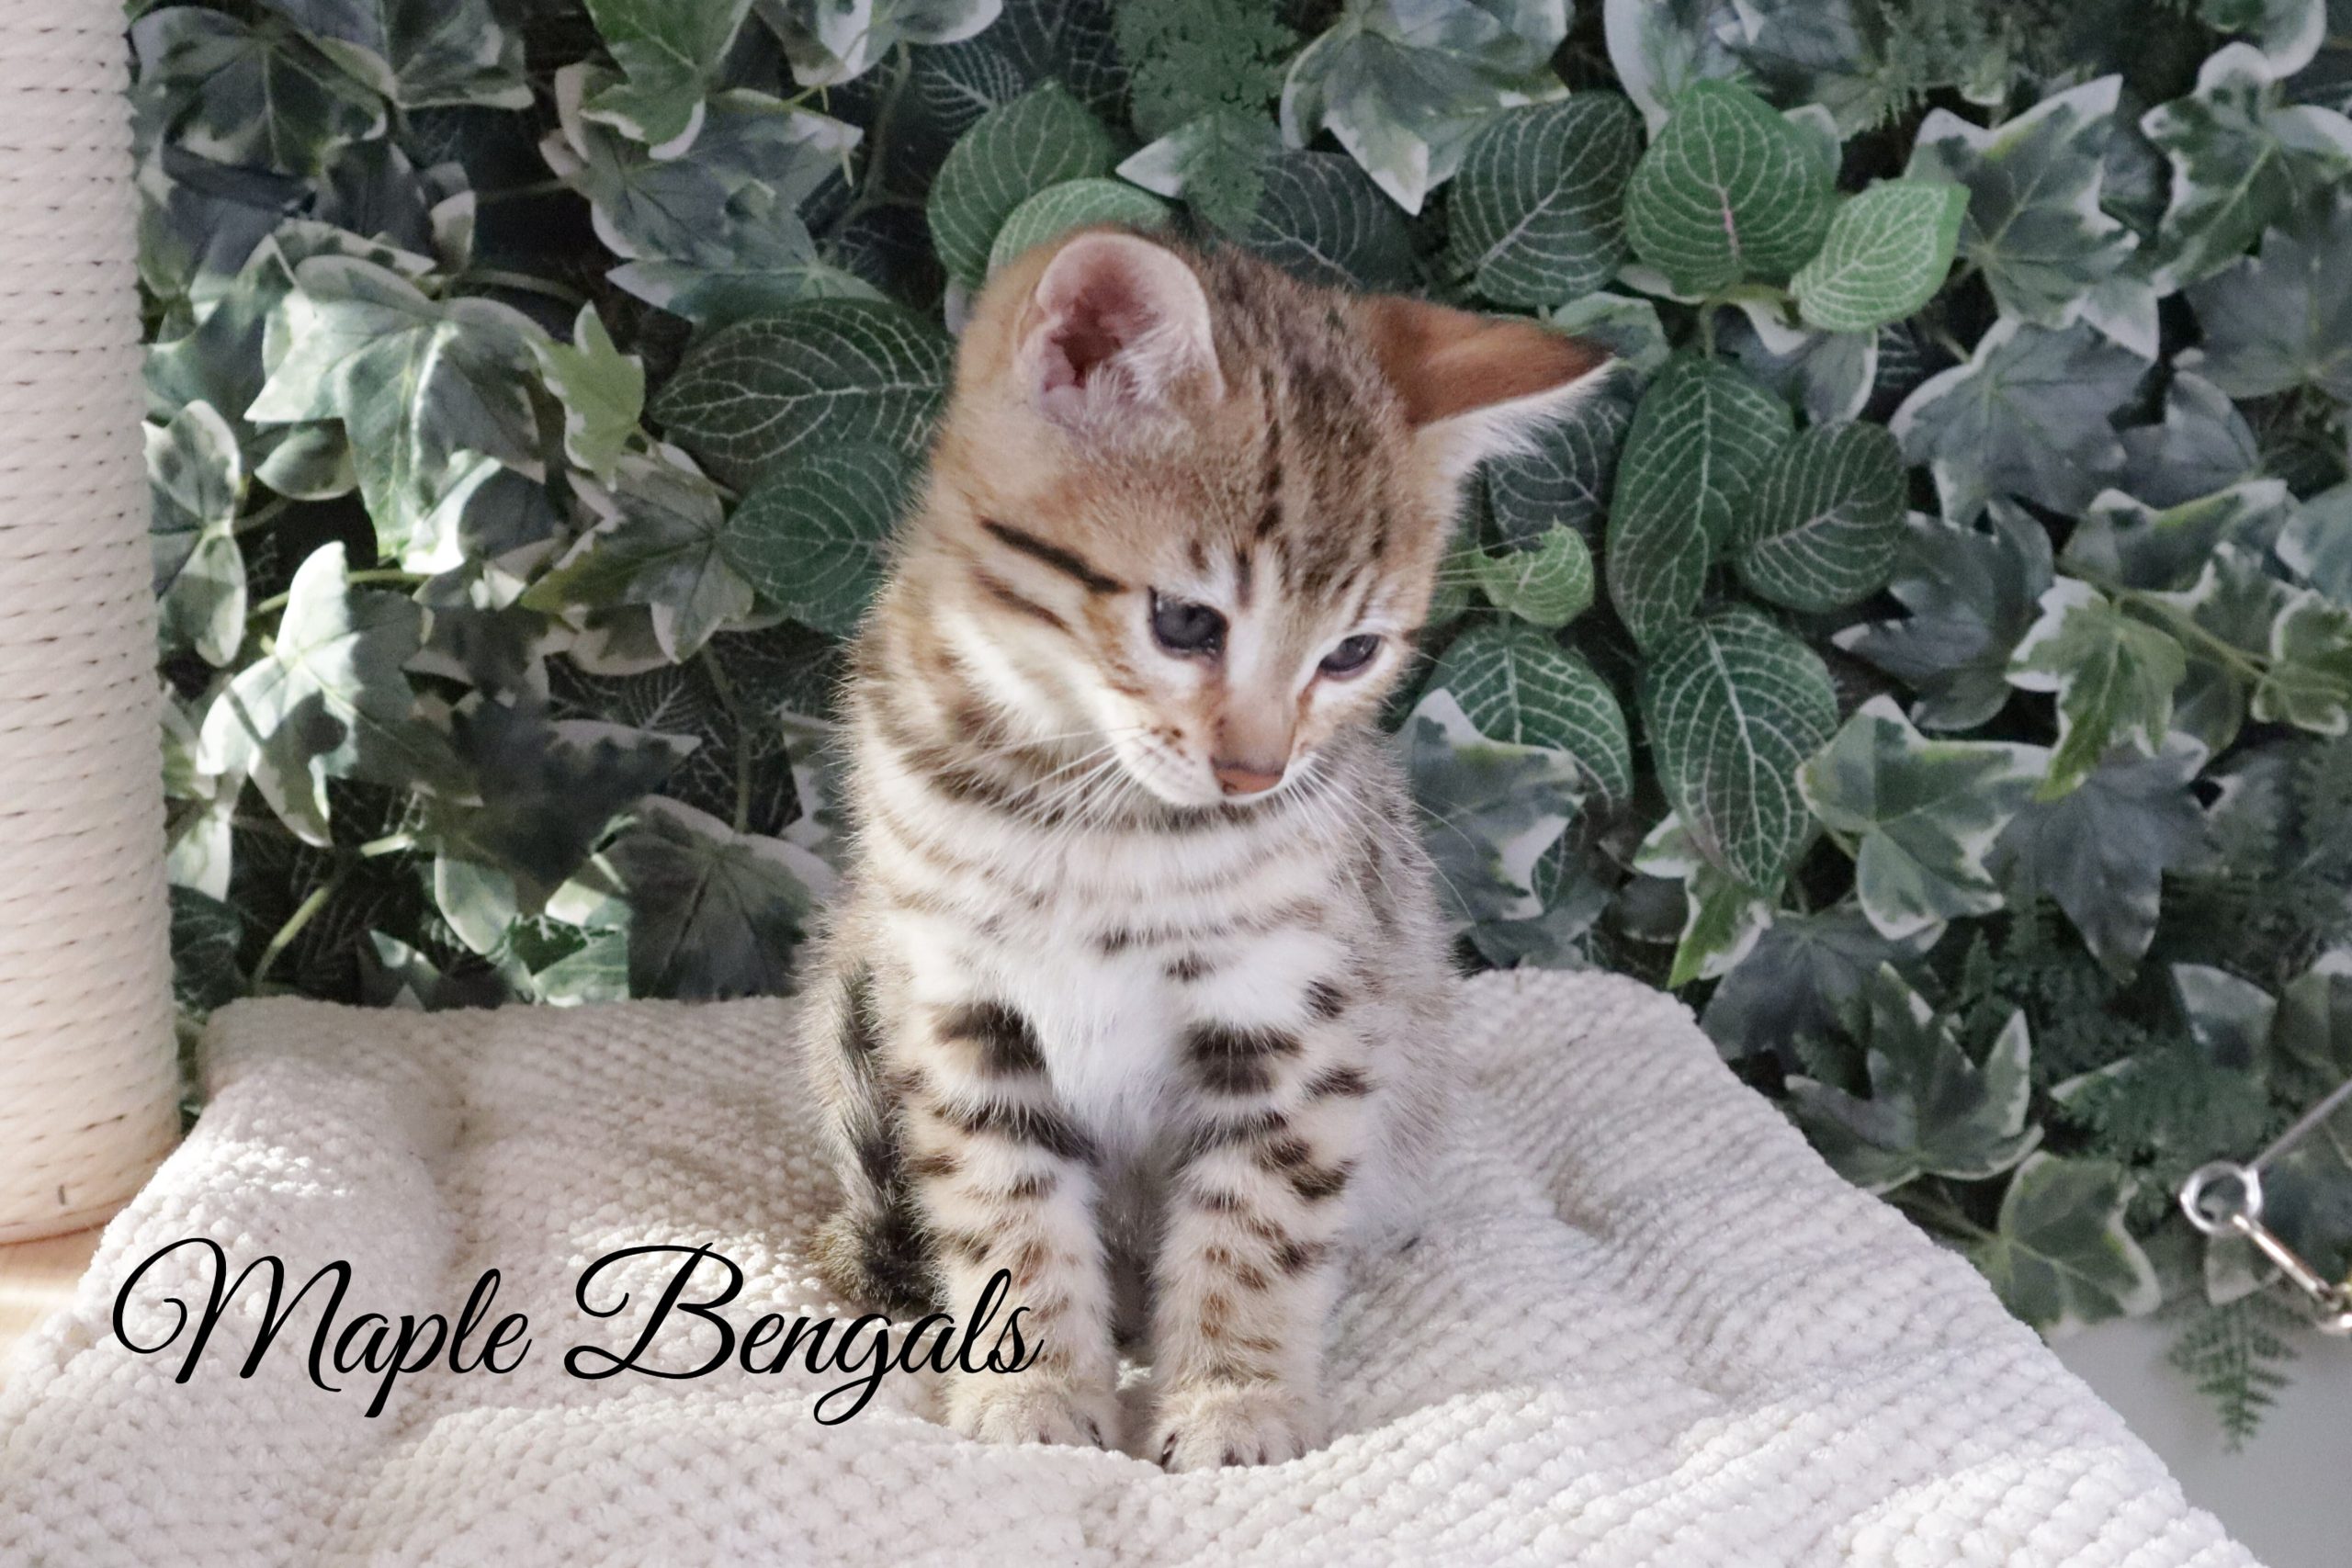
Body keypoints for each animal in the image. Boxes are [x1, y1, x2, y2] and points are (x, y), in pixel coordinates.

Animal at [797, 227, 1607, 1470]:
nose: (1256, 772)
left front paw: (1235, 1399)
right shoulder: (956, 1000)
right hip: (852, 978)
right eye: (1184, 622)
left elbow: (1257, 1221)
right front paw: (1035, 1388)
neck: (1083, 807)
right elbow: (1003, 1204)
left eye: (1352, 652)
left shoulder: (1294, 1013)